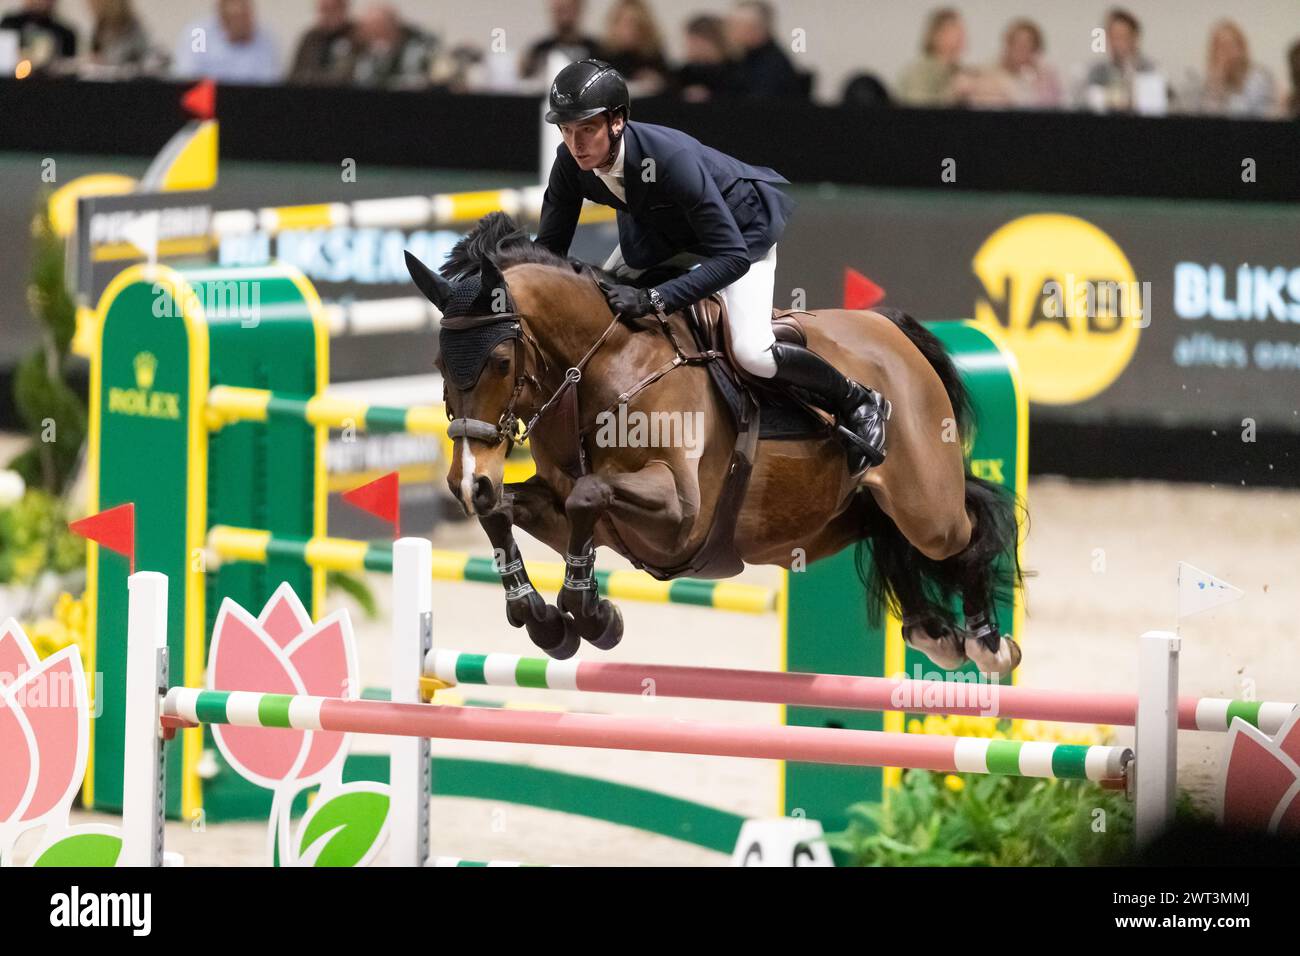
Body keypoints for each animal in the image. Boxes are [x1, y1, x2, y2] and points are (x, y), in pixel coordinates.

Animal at [408, 210, 1024, 671]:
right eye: (438, 363)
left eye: (500, 361)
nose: (466, 480)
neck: (604, 365)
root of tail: (893, 330)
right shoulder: (564, 511)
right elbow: (507, 511)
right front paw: (544, 621)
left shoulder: (681, 511)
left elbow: (590, 493)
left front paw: (589, 612)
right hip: (825, 521)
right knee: (884, 529)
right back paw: (934, 632)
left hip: (926, 510)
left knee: (969, 524)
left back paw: (987, 642)